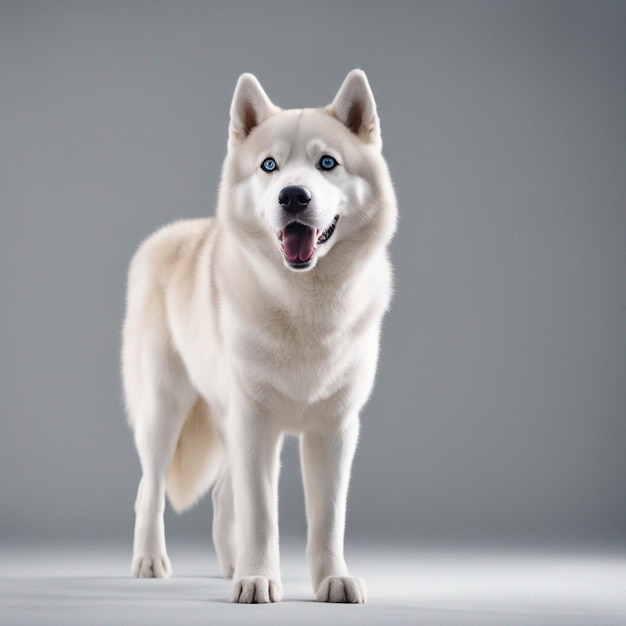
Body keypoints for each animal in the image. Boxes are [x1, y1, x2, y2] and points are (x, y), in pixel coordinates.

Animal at [122, 70, 394, 604]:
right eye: (270, 165)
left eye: (327, 163)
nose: (293, 196)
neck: (307, 309)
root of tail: (166, 236)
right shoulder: (256, 424)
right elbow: (263, 513)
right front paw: (258, 581)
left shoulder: (334, 429)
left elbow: (327, 518)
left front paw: (331, 581)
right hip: (165, 411)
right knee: (149, 490)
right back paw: (150, 562)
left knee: (223, 496)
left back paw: (230, 564)